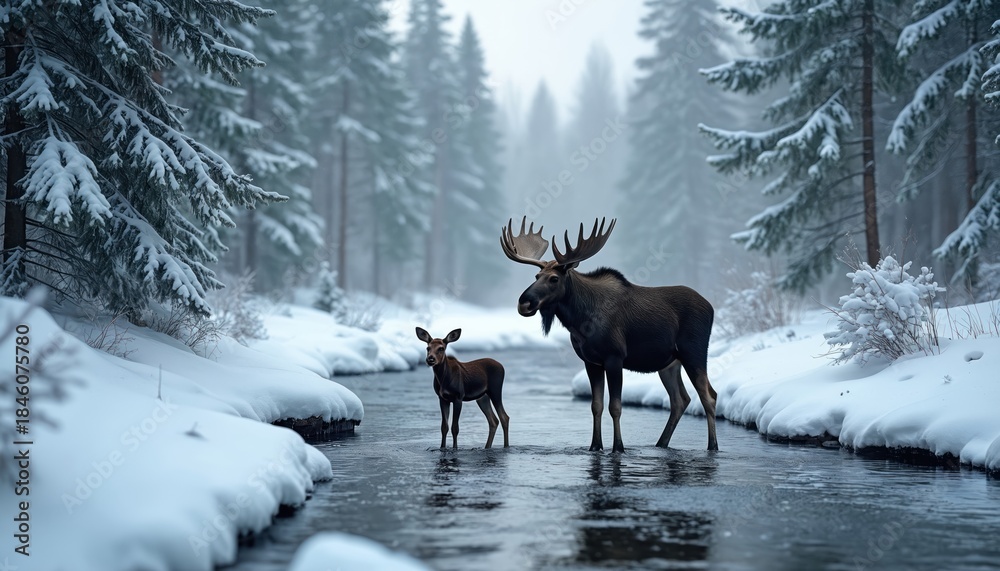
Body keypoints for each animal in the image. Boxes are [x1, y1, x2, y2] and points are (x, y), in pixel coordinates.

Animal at [499, 217, 718, 453]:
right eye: (537, 275)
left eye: (554, 279)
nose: (524, 302)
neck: (580, 322)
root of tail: (711, 307)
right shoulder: (591, 362)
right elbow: (596, 405)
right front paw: (595, 446)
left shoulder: (614, 357)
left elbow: (615, 406)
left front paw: (618, 447)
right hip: (669, 363)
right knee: (680, 399)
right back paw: (661, 444)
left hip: (693, 352)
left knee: (709, 396)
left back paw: (712, 446)